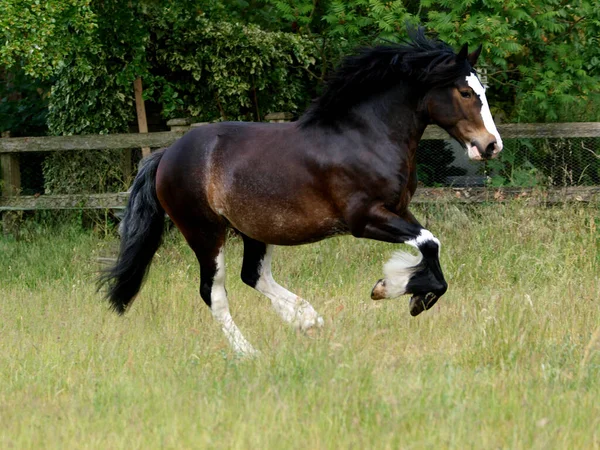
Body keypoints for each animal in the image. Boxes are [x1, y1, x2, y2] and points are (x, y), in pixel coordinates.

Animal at [98, 29, 502, 356]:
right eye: (465, 91)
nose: (491, 146)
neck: (367, 137)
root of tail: (166, 155)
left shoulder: (398, 210)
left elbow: (430, 245)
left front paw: (412, 291)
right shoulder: (364, 219)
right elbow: (430, 243)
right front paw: (393, 289)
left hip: (253, 228)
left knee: (253, 276)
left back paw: (306, 319)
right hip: (205, 233)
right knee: (213, 293)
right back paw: (250, 352)